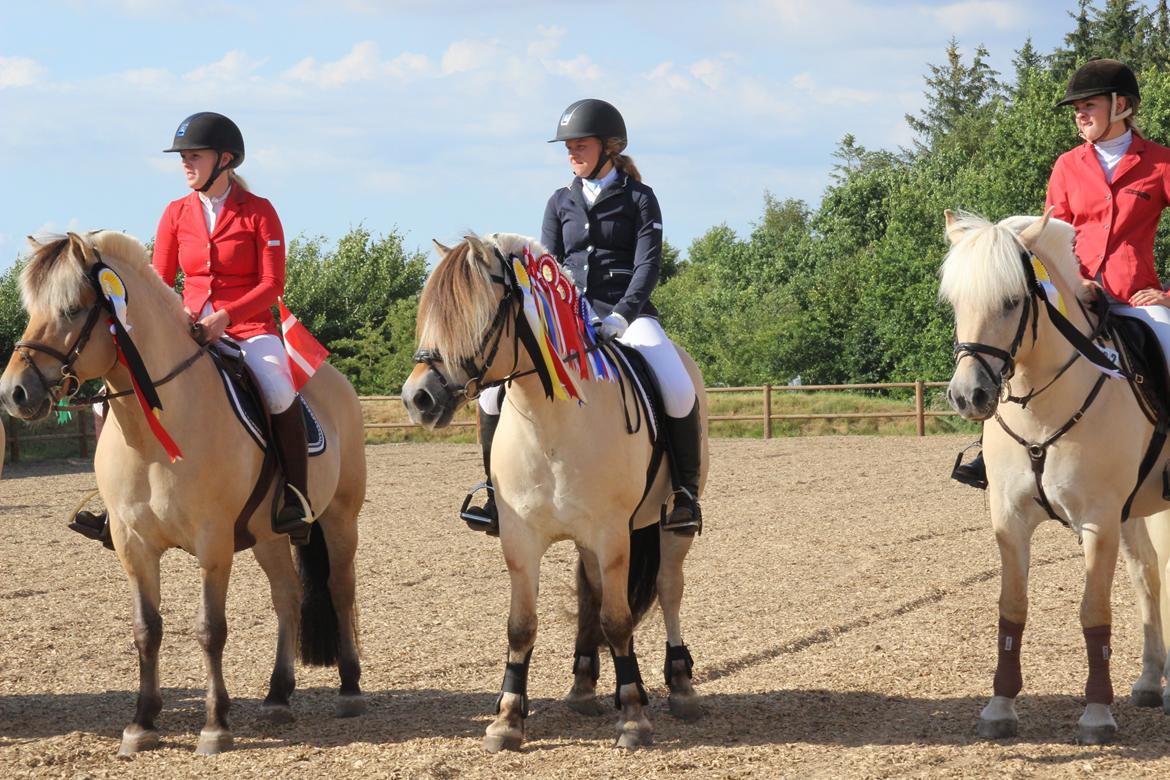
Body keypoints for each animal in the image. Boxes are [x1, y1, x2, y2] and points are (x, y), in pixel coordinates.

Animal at [0, 233, 365, 757]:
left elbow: (210, 630)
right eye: (30, 310)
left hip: (339, 518)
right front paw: (141, 724)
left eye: (71, 309)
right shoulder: (133, 545)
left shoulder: (213, 544)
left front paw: (214, 725)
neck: (155, 430)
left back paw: (350, 689)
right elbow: (146, 630)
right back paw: (277, 696)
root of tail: (332, 379)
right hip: (269, 535)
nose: (14, 392)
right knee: (287, 596)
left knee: (339, 589)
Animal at [397, 231, 706, 748]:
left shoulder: (612, 533)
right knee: (593, 593)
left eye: (478, 316)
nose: (418, 399)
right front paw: (507, 719)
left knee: (668, 589)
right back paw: (585, 686)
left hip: (668, 525)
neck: (551, 426)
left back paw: (679, 688)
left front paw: (633, 718)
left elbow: (619, 620)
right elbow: (522, 627)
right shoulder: (520, 538)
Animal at [940, 211, 1170, 743]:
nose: (968, 396)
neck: (1041, 407)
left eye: (1012, 301)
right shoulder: (1009, 519)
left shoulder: (1098, 521)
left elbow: (1094, 612)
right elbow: (1012, 607)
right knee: (1148, 577)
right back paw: (1151, 682)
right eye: (955, 301)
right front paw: (999, 708)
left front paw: (1097, 715)